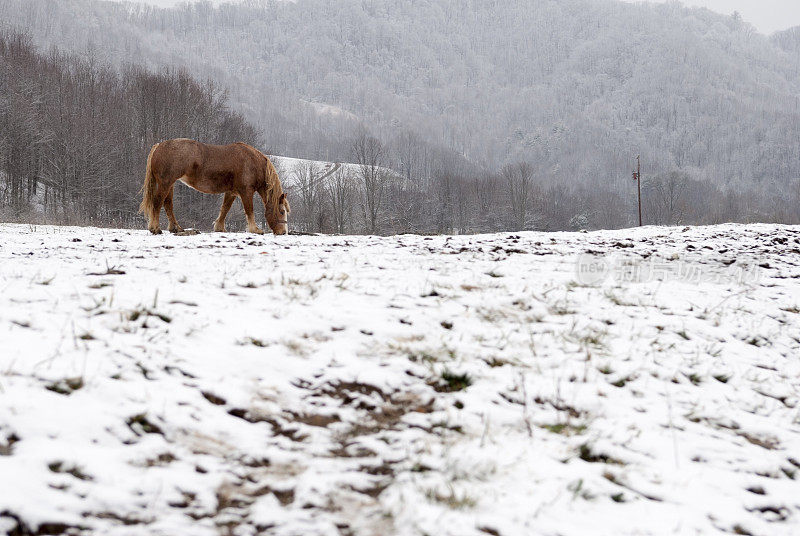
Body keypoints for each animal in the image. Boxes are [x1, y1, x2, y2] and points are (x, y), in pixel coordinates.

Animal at [138, 140, 290, 234]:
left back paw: (176, 228)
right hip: (165, 183)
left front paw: (219, 227)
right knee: (157, 202)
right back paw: (155, 228)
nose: (283, 232)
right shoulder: (246, 192)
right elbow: (249, 210)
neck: (252, 163)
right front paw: (255, 229)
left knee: (168, 204)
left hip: (170, 184)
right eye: (282, 212)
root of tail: (158, 146)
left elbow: (224, 210)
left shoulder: (231, 192)